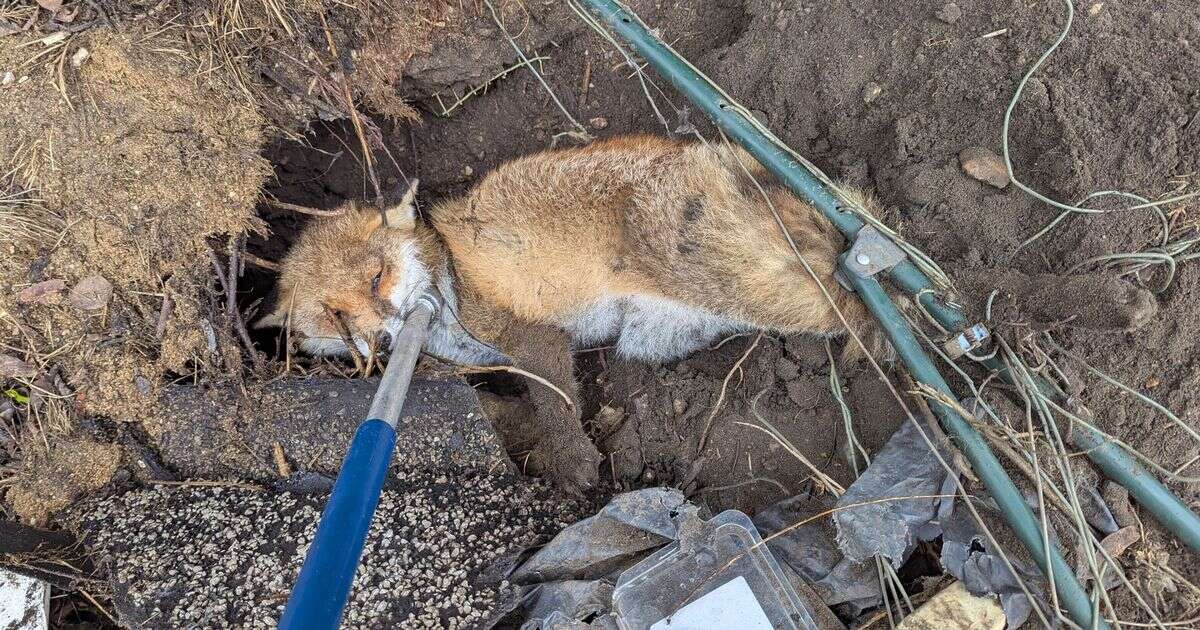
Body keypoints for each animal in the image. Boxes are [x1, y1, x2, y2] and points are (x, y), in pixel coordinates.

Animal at [258, 136, 888, 492]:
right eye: (335, 317)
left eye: (376, 277)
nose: (385, 336)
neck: (452, 279)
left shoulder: (533, 334)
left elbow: (556, 401)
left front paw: (571, 460)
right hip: (662, 329)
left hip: (732, 277)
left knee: (846, 287)